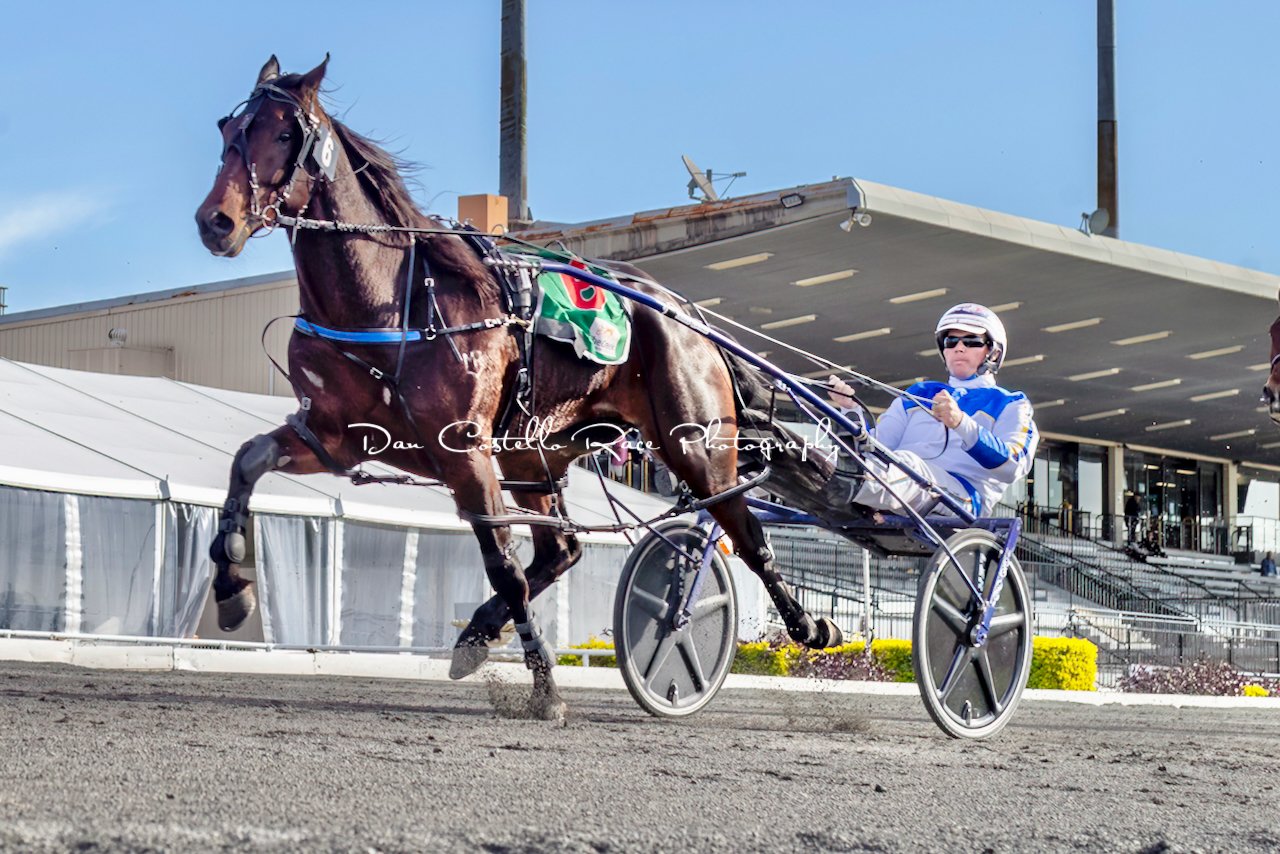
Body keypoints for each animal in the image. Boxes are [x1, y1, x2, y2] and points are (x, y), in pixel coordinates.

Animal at [194, 56, 840, 720]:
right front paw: (232, 588)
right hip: (537, 451)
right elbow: (248, 461)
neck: (388, 301)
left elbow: (502, 563)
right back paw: (478, 632)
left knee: (743, 529)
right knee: (562, 551)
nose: (216, 221)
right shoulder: (336, 436)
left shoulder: (465, 450)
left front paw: (546, 688)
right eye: (228, 129)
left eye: (283, 133)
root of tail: (687, 313)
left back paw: (808, 626)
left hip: (694, 446)